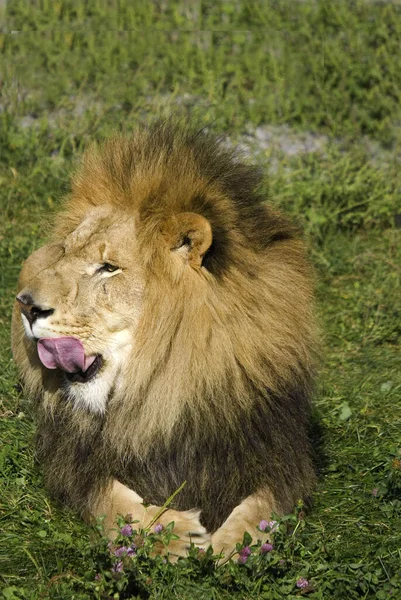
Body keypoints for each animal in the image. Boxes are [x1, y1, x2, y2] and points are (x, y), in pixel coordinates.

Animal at [12, 119, 318, 560]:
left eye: (109, 268)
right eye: (65, 253)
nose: (25, 306)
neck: (166, 384)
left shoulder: (278, 450)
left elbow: (263, 504)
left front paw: (233, 546)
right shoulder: (74, 459)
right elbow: (113, 500)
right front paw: (170, 534)